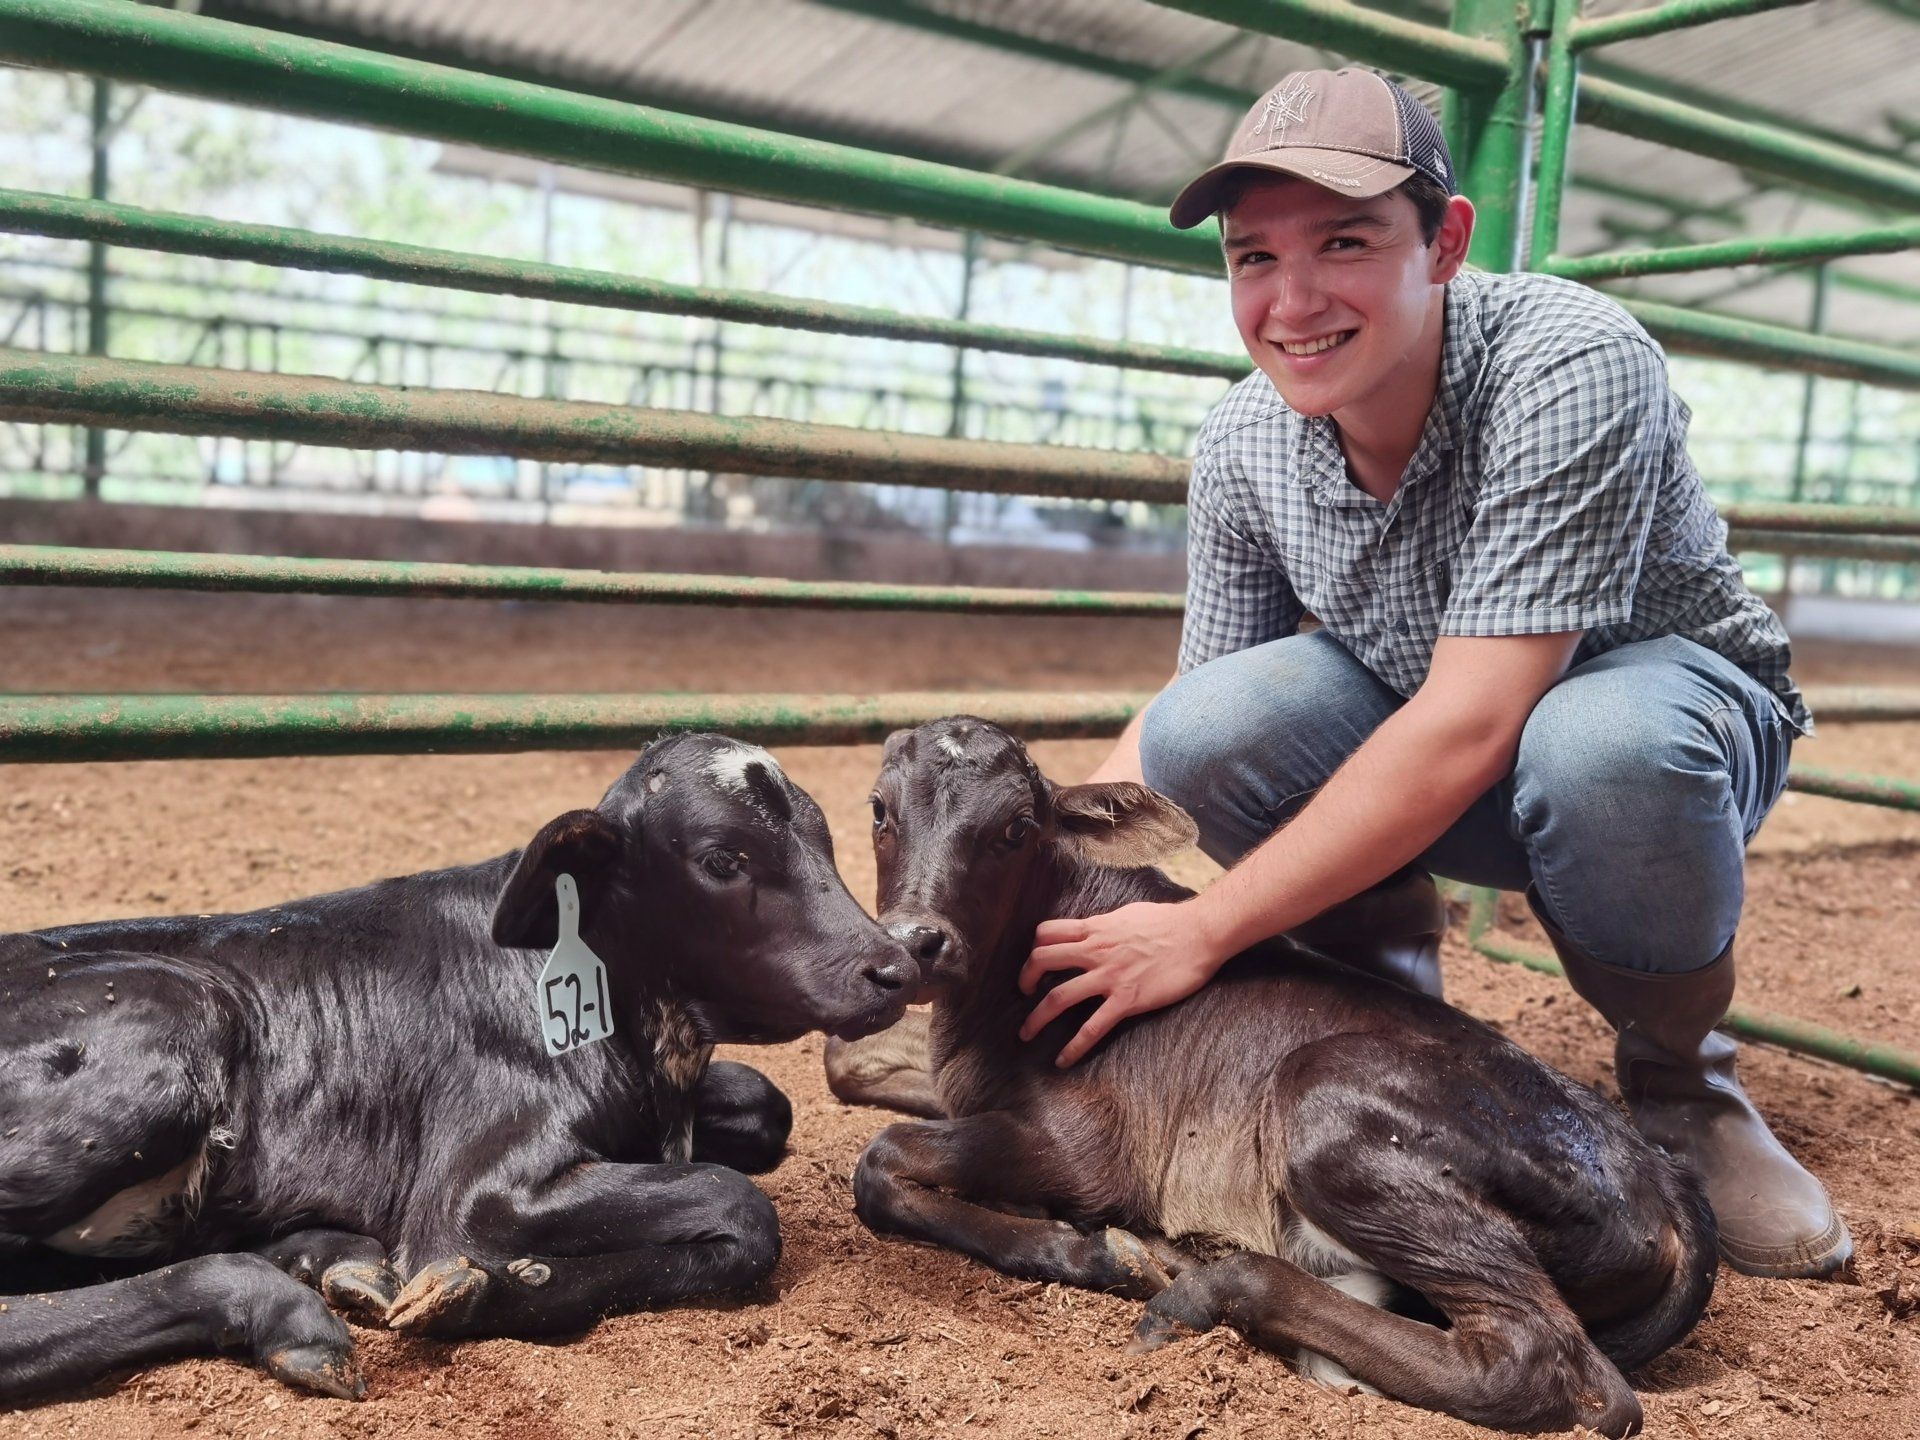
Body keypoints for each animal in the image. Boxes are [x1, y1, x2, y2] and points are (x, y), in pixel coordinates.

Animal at [0, 734, 913, 1402]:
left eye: (826, 839)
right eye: (724, 858)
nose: (893, 967)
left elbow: (765, 1107)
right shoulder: (473, 1192)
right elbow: (739, 1203)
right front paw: (483, 1289)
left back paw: (327, 1258)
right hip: (179, 1019)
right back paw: (282, 1307)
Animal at [833, 717, 1717, 1436]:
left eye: (1016, 827)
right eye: (878, 809)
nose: (917, 941)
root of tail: (1663, 1177)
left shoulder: (1092, 1148)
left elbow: (880, 1159)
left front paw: (1094, 1252)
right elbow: (844, 1065)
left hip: (1326, 1103)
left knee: (1543, 1362)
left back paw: (1195, 1287)